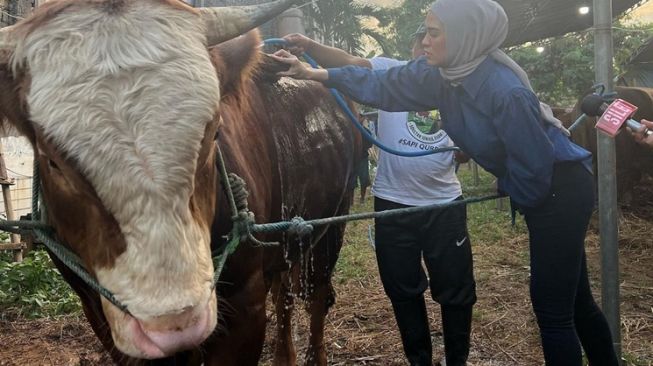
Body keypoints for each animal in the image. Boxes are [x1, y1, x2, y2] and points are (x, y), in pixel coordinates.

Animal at [0, 1, 362, 364]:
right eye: (51, 160)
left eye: (215, 132)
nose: (173, 322)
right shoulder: (99, 314)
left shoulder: (246, 303)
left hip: (332, 227)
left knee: (316, 297)